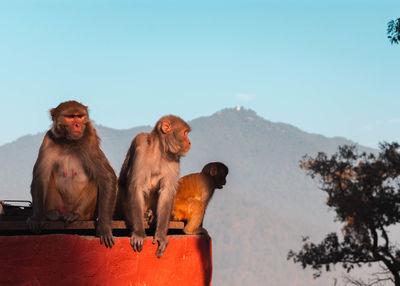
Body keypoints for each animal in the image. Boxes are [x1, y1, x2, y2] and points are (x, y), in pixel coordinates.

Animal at [26, 101, 116, 248]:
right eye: (70, 117)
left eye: (79, 116)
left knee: (95, 181)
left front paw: (104, 227)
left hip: (88, 212)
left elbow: (106, 178)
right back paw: (51, 214)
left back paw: (76, 215)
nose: (77, 125)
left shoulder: (90, 142)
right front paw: (37, 217)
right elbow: (40, 177)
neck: (68, 142)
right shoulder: (48, 141)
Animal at [117, 115, 191, 258]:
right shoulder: (140, 144)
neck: (160, 151)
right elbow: (136, 186)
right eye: (185, 133)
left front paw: (161, 235)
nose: (189, 142)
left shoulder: (174, 158)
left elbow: (166, 192)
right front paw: (139, 232)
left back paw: (151, 213)